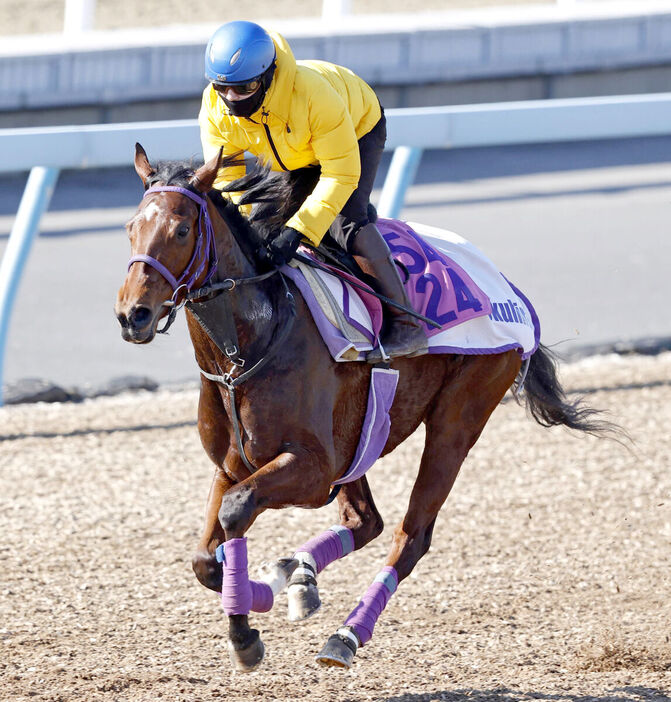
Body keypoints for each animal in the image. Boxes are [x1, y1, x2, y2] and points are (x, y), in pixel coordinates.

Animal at [117, 142, 616, 672]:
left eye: (181, 229)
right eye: (130, 228)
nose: (133, 315)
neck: (249, 346)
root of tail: (509, 290)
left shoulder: (314, 470)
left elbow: (236, 512)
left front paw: (246, 632)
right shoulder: (233, 464)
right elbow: (205, 560)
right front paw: (266, 590)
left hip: (458, 418)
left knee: (410, 536)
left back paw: (345, 634)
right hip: (362, 439)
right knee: (365, 521)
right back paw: (299, 575)